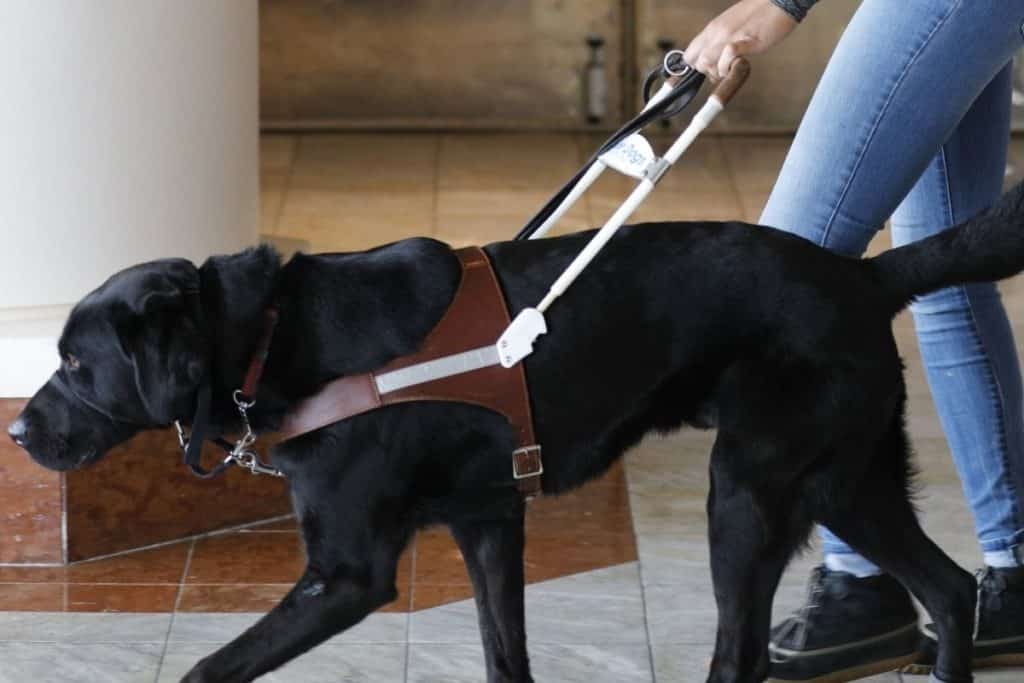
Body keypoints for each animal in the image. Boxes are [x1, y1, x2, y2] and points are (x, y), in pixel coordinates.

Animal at [8, 183, 1024, 683]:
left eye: (76, 365)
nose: (15, 428)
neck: (268, 335)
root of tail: (866, 275)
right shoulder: (489, 521)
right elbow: (505, 655)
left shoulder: (346, 573)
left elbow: (210, 668)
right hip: (848, 480)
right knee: (948, 586)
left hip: (751, 489)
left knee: (741, 653)